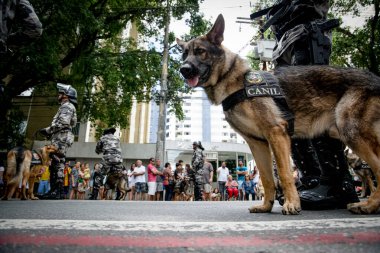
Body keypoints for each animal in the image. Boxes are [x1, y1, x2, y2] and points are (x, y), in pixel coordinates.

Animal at [177, 13, 380, 214]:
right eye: (184, 54)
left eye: (200, 51)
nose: (183, 69)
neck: (235, 81)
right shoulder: (257, 143)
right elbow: (267, 178)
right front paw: (266, 206)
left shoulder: (276, 133)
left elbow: (283, 173)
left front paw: (292, 203)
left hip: (351, 132)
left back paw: (369, 205)